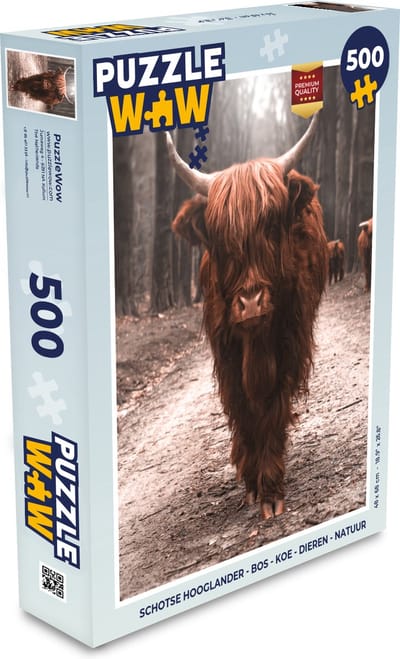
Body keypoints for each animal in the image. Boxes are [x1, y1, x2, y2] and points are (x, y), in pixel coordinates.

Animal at [167, 114, 328, 519]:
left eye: (270, 225)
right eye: (220, 239)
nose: (251, 302)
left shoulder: (291, 341)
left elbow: (272, 409)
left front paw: (270, 489)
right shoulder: (225, 352)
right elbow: (242, 409)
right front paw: (253, 481)